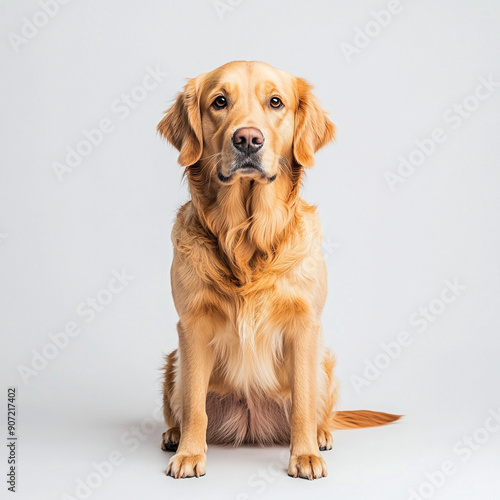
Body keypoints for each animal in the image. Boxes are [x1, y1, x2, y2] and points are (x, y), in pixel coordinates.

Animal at [156, 62, 398, 480]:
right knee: (182, 407)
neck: (245, 238)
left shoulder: (304, 325)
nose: (247, 139)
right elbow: (194, 404)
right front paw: (189, 453)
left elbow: (302, 403)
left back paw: (321, 436)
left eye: (275, 102)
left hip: (324, 362)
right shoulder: (192, 324)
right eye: (219, 101)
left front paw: (304, 456)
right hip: (174, 361)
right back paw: (173, 435)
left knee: (319, 412)